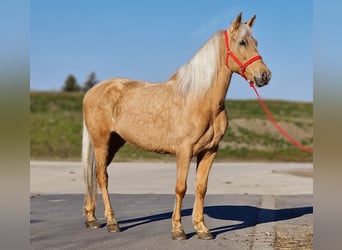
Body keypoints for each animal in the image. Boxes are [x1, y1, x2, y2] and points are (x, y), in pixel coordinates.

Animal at [81, 12, 272, 240]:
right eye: (242, 42)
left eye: (256, 42)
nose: (264, 75)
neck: (199, 99)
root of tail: (92, 91)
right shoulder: (184, 151)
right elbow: (181, 187)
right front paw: (178, 230)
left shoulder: (209, 151)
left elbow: (201, 188)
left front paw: (202, 228)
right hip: (101, 142)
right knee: (102, 176)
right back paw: (112, 222)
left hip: (114, 143)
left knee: (93, 174)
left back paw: (91, 219)